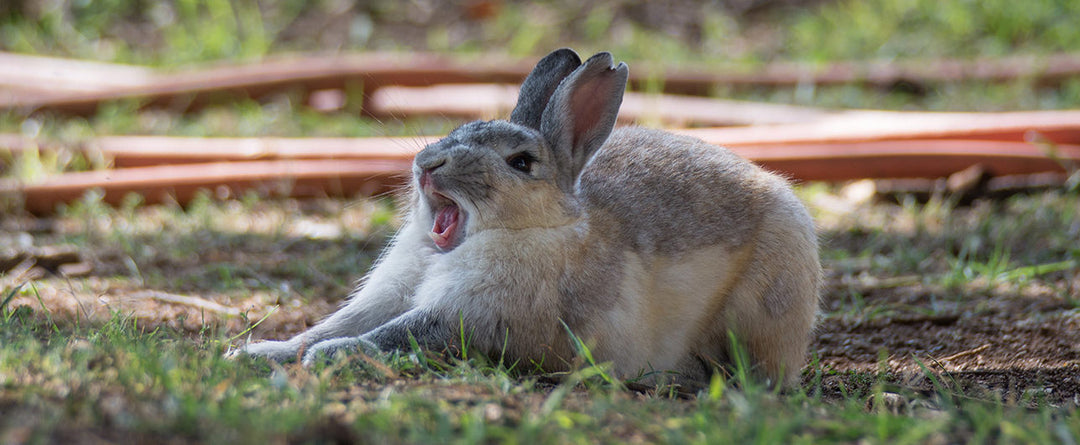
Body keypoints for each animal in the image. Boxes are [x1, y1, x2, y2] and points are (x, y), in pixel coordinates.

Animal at [232, 48, 820, 386]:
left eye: (521, 163)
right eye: (461, 128)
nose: (428, 164)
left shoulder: (473, 314)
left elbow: (399, 335)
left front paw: (332, 355)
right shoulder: (392, 295)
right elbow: (337, 323)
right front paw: (257, 352)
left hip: (761, 306)